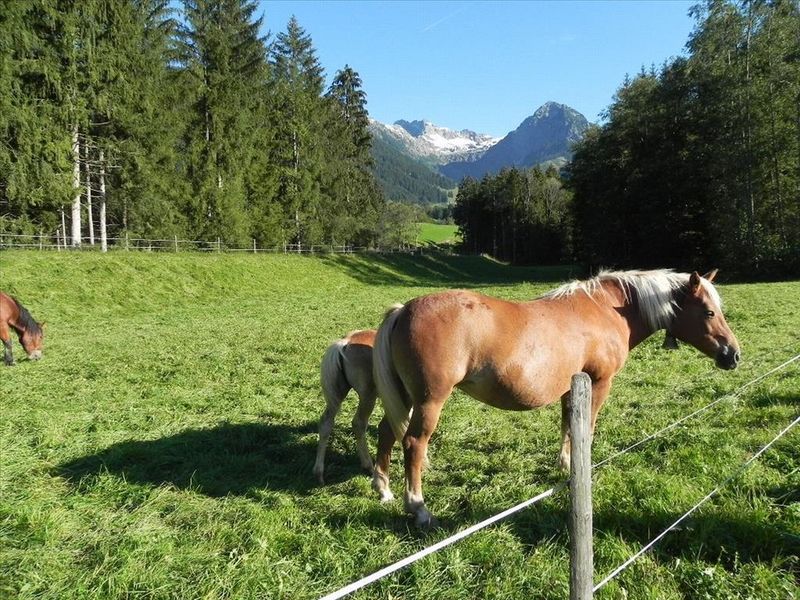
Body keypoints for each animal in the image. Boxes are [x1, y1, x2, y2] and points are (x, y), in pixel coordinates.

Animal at [314, 330, 380, 486]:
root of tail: (345, 343)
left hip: (338, 393)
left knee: (326, 423)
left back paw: (319, 474)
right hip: (368, 396)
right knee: (358, 424)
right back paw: (368, 466)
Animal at [372, 270, 740, 528]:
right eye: (708, 312)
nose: (733, 355)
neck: (607, 310)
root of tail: (404, 310)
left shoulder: (571, 388)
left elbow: (568, 426)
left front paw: (565, 465)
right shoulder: (599, 384)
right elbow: (587, 430)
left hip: (406, 397)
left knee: (386, 432)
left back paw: (383, 489)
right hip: (429, 401)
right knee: (413, 443)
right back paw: (418, 508)